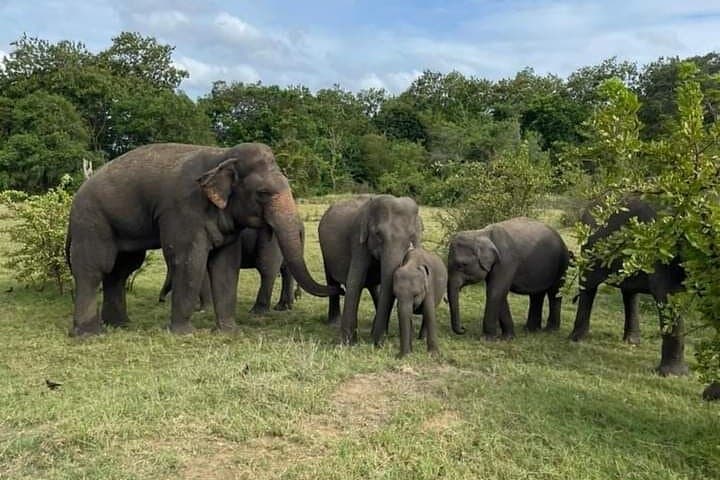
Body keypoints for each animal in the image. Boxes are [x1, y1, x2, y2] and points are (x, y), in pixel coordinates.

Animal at [158, 226, 300, 313]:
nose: (161, 300)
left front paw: (203, 309)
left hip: (271, 241)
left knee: (267, 270)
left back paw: (257, 311)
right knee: (286, 270)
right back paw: (284, 307)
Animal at [318, 195, 423, 346]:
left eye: (411, 236)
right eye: (378, 234)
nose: (378, 343)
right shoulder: (358, 239)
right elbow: (356, 280)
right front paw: (348, 343)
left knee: (374, 288)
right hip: (325, 252)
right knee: (331, 279)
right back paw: (334, 323)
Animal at [569, 196, 687, 376]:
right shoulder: (662, 245)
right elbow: (668, 294)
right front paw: (672, 375)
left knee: (629, 293)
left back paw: (631, 343)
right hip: (591, 246)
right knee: (589, 286)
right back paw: (576, 339)